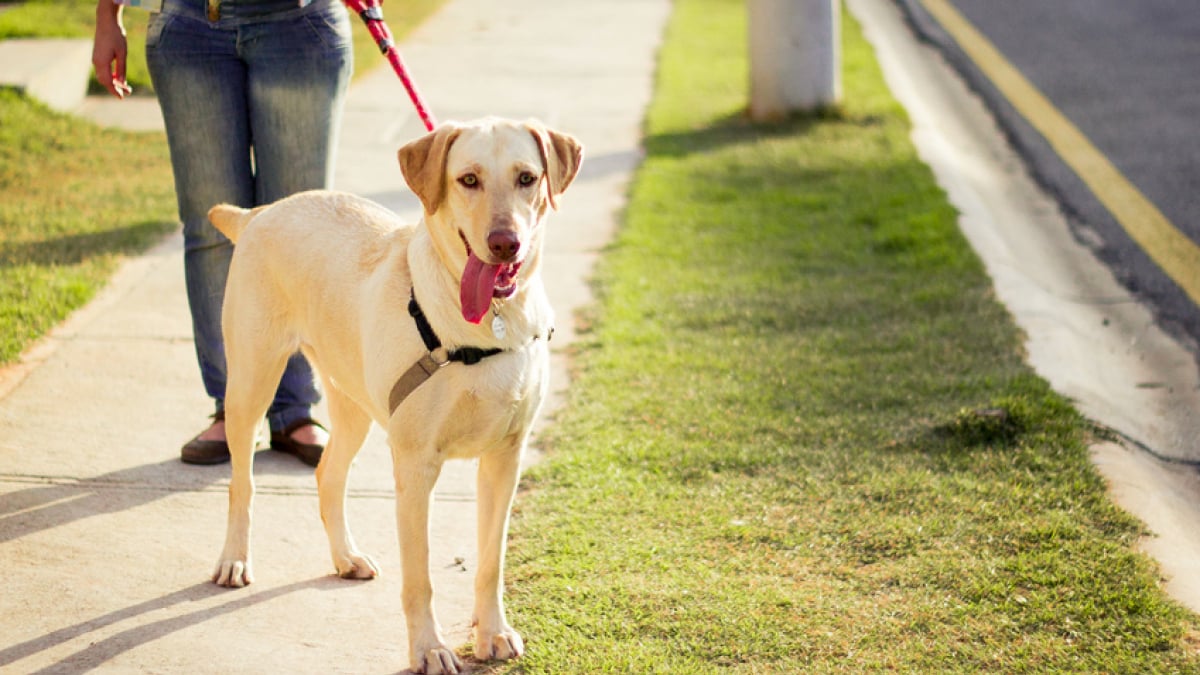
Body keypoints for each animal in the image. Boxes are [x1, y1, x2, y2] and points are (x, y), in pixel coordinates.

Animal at [206, 118, 585, 667]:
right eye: (468, 180)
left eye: (527, 178)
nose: (505, 243)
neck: (488, 323)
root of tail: (261, 212)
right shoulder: (415, 464)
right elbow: (420, 577)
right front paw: (429, 649)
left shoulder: (505, 458)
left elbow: (491, 561)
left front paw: (493, 632)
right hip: (250, 383)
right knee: (242, 483)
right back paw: (234, 559)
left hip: (353, 404)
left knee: (328, 474)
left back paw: (346, 556)